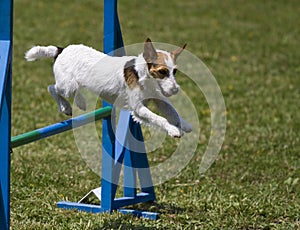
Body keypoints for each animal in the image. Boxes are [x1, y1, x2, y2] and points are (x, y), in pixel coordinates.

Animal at [24, 38, 192, 137]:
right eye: (162, 72)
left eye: (174, 71)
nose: (175, 90)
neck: (141, 74)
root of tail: (61, 49)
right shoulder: (138, 108)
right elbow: (159, 118)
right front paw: (173, 129)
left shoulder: (157, 99)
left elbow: (172, 111)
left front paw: (184, 124)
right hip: (67, 86)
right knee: (51, 88)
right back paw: (66, 106)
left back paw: (79, 102)